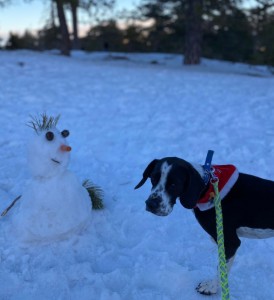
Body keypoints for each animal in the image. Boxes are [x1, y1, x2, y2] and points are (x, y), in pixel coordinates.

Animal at [135, 157, 274, 296]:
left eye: (174, 184)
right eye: (153, 178)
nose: (151, 204)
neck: (207, 188)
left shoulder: (229, 242)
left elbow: (221, 269)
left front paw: (211, 287)